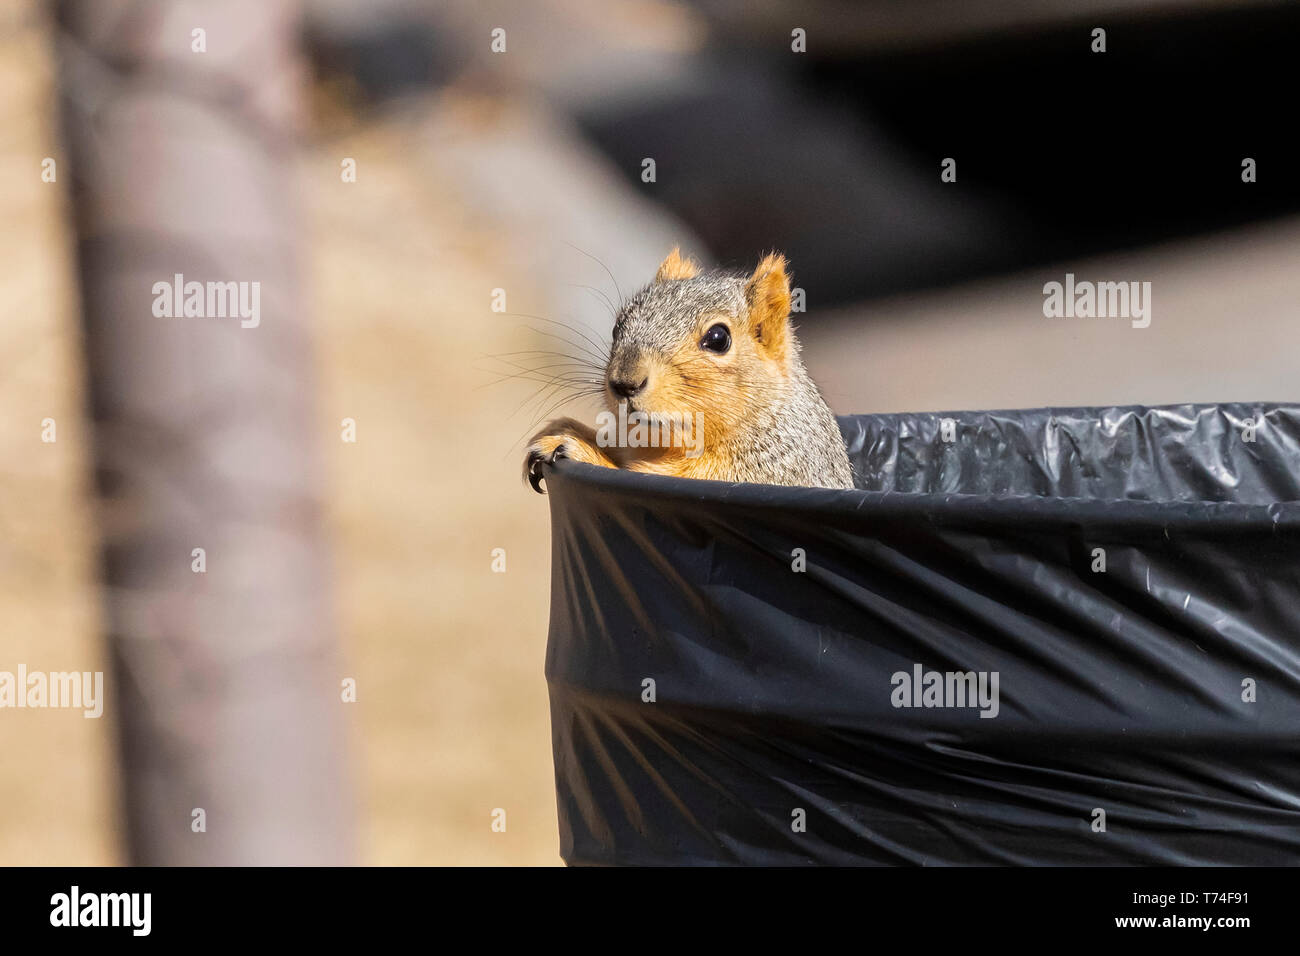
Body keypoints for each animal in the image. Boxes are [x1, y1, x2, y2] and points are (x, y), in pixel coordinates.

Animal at [522, 251, 857, 494]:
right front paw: (565, 429)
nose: (625, 383)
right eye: (618, 325)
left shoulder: (756, 474)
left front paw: (578, 446)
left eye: (719, 338)